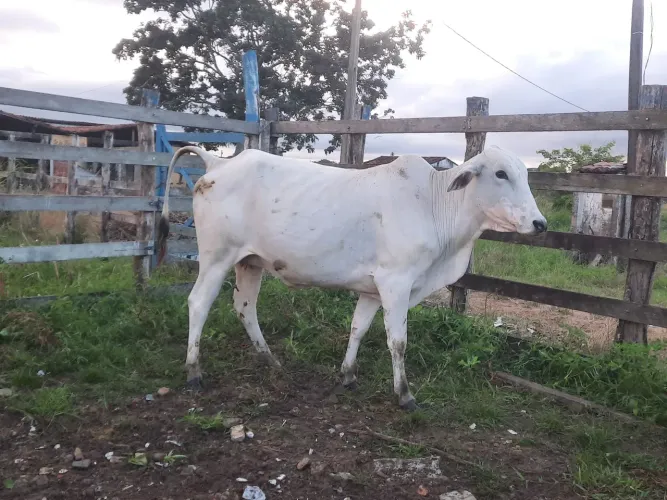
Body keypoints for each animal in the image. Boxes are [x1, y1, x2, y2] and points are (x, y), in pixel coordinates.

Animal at [157, 145, 547, 410]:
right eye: (500, 174)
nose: (540, 224)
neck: (434, 206)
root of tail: (217, 162)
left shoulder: (373, 289)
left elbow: (358, 328)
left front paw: (348, 375)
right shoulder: (396, 283)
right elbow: (398, 341)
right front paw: (405, 395)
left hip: (249, 262)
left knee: (244, 306)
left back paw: (269, 360)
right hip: (216, 257)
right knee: (199, 303)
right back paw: (194, 371)